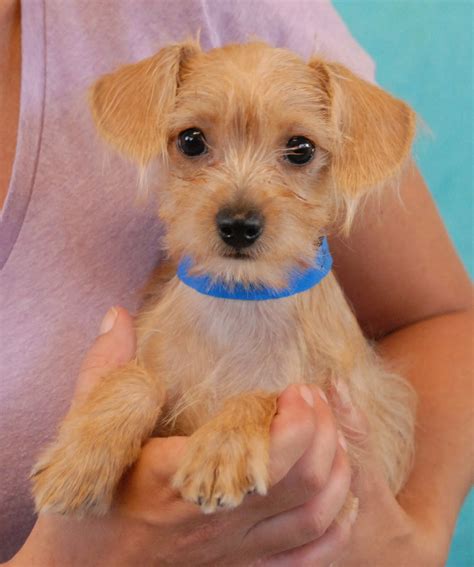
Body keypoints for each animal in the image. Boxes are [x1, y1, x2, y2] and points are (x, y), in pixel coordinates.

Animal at [30, 40, 414, 520]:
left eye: (301, 148)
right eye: (191, 140)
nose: (238, 225)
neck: (239, 301)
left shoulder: (344, 441)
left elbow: (261, 393)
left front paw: (222, 449)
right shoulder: (156, 365)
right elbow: (139, 380)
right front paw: (80, 457)